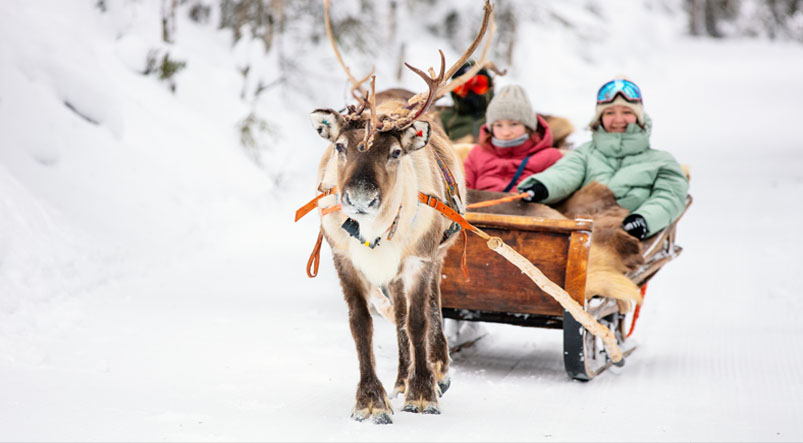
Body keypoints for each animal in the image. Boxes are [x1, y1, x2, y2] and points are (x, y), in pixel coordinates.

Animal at [305, 0, 495, 425]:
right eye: (340, 146)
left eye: (393, 152)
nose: (360, 197)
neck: (375, 232)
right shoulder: (344, 259)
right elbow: (363, 325)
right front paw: (372, 400)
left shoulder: (418, 259)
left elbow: (419, 320)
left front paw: (423, 392)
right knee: (398, 316)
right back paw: (400, 378)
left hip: (437, 253)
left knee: (429, 308)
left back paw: (437, 370)